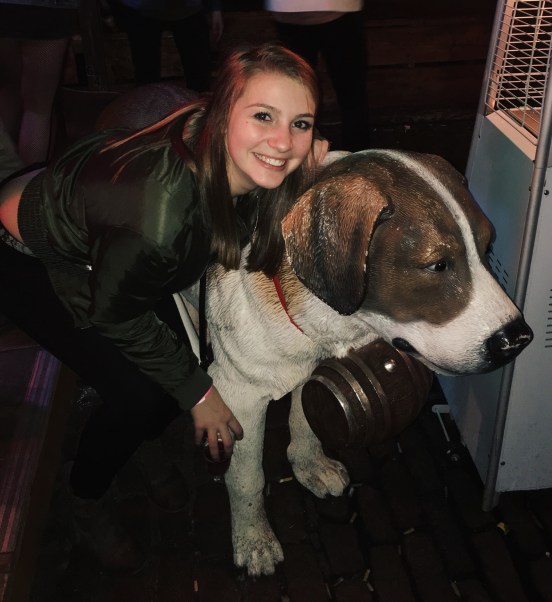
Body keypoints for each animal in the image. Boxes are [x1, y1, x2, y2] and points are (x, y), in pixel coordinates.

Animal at [179, 148, 533, 576]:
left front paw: (309, 465)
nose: (518, 338)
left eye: (487, 248)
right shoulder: (240, 397)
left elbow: (307, 422)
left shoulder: (319, 370)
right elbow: (248, 479)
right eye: (437, 265)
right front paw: (253, 540)